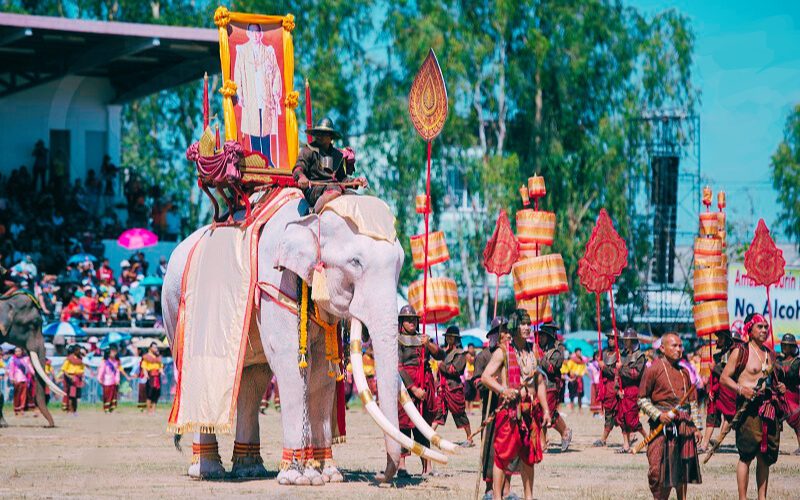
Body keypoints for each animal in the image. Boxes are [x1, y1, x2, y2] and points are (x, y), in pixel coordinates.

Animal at [162, 193, 450, 486]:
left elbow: (323, 373)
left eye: (401, 263)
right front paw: (296, 477)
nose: (382, 474)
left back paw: (250, 468)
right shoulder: (274, 287)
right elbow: (292, 366)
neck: (315, 215)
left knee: (254, 381)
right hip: (175, 309)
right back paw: (208, 470)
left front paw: (327, 474)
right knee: (202, 374)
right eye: (355, 262)